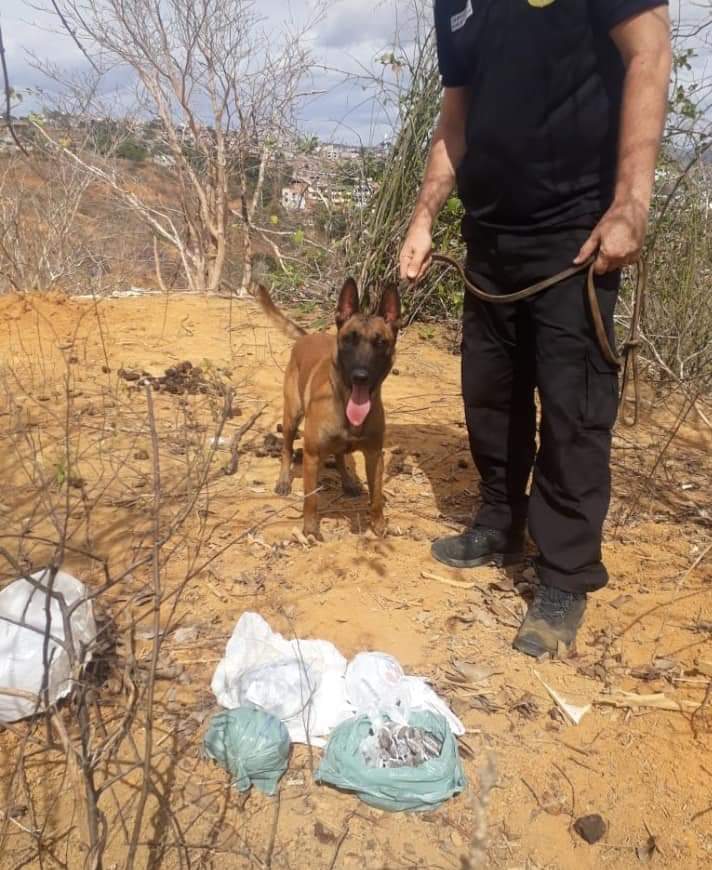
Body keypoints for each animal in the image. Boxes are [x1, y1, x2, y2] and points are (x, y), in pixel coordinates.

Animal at [256, 280, 400, 540]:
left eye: (381, 343)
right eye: (349, 339)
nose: (360, 376)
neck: (346, 402)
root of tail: (308, 336)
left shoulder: (375, 455)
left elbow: (375, 498)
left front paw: (378, 524)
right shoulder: (312, 456)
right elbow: (311, 499)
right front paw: (310, 528)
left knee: (341, 455)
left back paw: (348, 481)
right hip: (291, 417)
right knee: (286, 450)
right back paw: (283, 480)